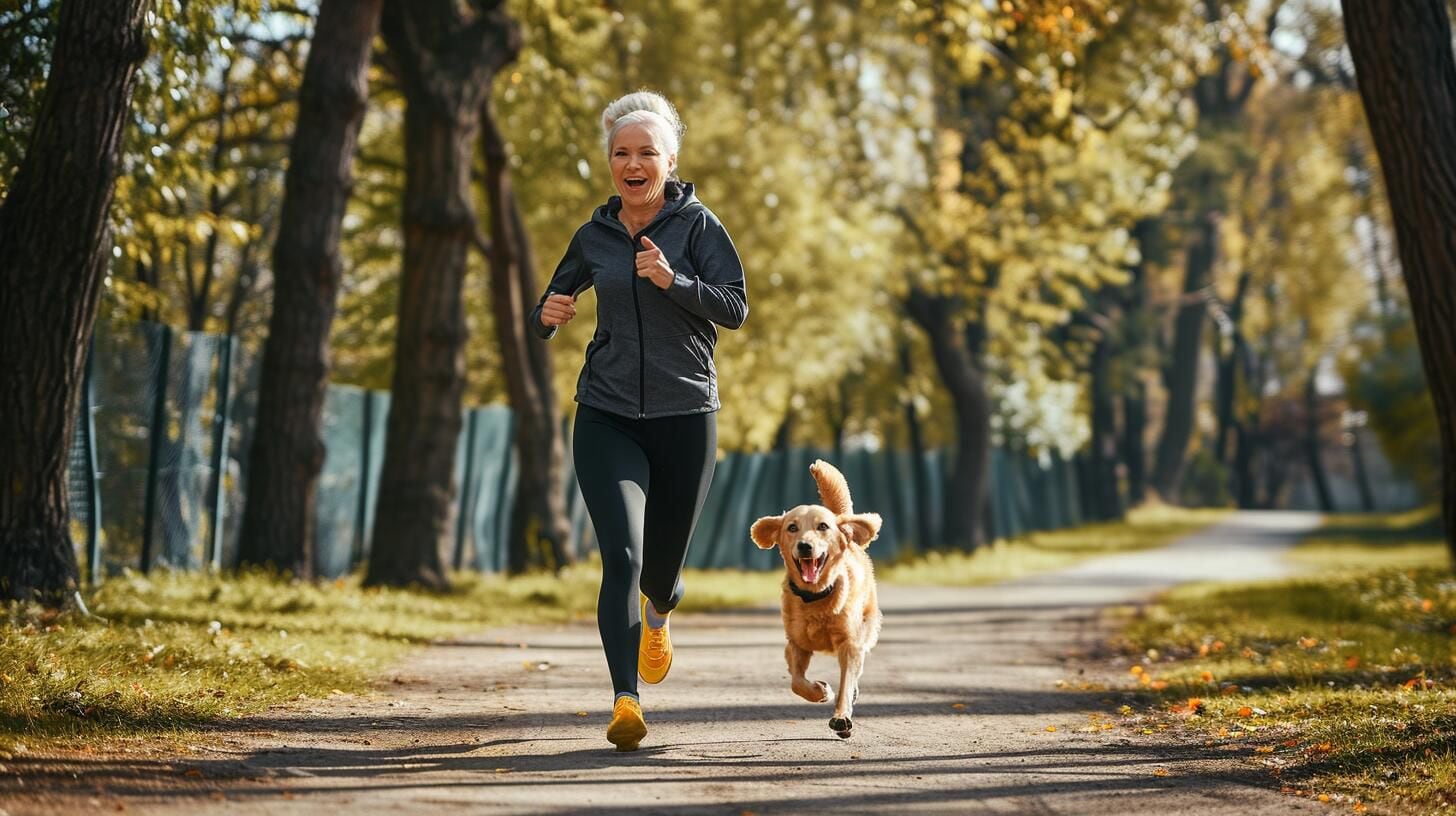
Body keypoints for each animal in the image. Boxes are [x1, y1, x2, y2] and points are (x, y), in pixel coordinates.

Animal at [757, 460, 879, 740]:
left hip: (866, 628)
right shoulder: (796, 645)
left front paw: (841, 717)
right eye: (792, 527)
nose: (804, 546)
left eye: (822, 526)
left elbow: (846, 684)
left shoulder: (849, 644)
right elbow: (796, 681)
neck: (815, 598)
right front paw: (820, 691)